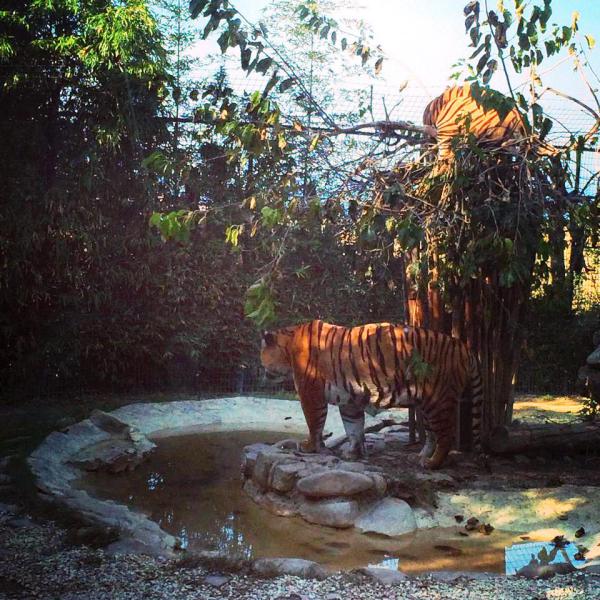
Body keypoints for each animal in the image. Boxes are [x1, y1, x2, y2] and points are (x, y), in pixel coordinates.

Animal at [260, 322, 486, 472]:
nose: (262, 371)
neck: (289, 345)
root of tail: (464, 347)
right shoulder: (349, 399)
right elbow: (353, 428)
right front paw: (352, 453)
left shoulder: (310, 394)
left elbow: (314, 422)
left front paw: (308, 447)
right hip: (427, 405)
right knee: (432, 435)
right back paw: (420, 456)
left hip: (438, 400)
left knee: (446, 436)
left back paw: (432, 463)